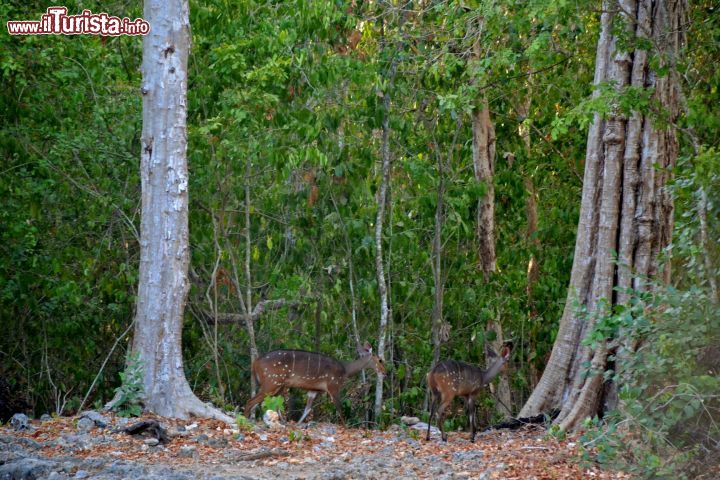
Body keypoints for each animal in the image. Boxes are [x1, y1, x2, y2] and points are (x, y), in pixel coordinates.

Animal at [245, 342, 386, 424]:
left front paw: (298, 424)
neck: (345, 371)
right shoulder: (333, 386)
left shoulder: (315, 390)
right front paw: (346, 426)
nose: (385, 373)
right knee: (250, 401)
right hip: (272, 382)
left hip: (277, 385)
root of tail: (255, 363)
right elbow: (340, 409)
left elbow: (307, 409)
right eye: (380, 360)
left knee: (271, 402)